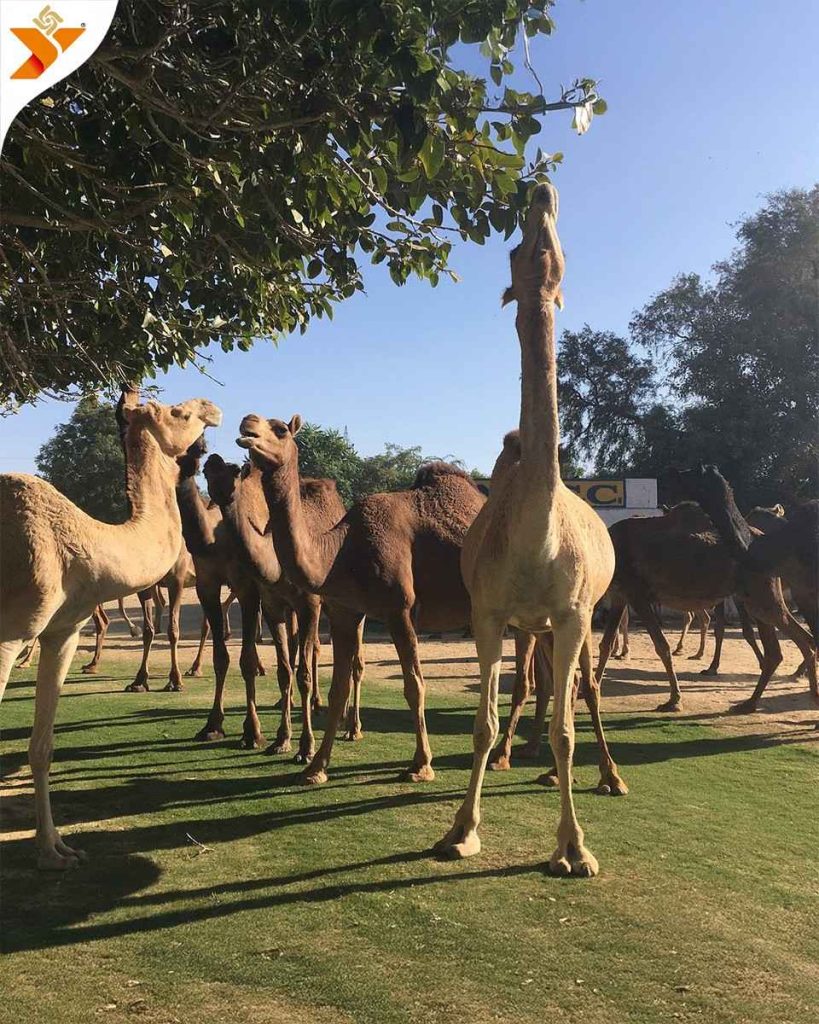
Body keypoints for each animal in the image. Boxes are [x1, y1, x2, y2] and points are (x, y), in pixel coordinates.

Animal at [0, 394, 222, 868]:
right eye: (178, 412)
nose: (211, 407)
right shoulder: (9, 637)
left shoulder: (61, 630)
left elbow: (42, 746)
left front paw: (55, 849)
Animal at [236, 419, 485, 785]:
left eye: (280, 429)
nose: (247, 425)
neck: (340, 550)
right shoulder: (345, 611)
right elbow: (337, 689)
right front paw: (316, 767)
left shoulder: (399, 609)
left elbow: (414, 686)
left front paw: (420, 766)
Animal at [433, 183, 624, 877]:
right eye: (514, 252)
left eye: (560, 249)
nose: (541, 189)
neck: (537, 542)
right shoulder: (488, 613)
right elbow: (483, 722)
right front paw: (460, 831)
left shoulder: (572, 613)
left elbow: (568, 726)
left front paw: (575, 848)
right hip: (528, 624)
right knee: (536, 689)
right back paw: (533, 763)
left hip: (586, 616)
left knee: (582, 691)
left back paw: (608, 776)